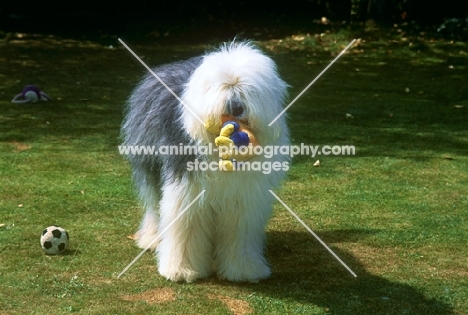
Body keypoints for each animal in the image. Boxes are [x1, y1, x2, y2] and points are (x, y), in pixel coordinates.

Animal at [120, 40, 288, 282]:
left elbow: (239, 232)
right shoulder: (186, 190)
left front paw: (244, 269)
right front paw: (181, 270)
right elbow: (186, 228)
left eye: (247, 90)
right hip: (150, 165)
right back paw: (152, 239)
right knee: (153, 206)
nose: (236, 107)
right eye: (223, 88)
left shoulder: (243, 199)